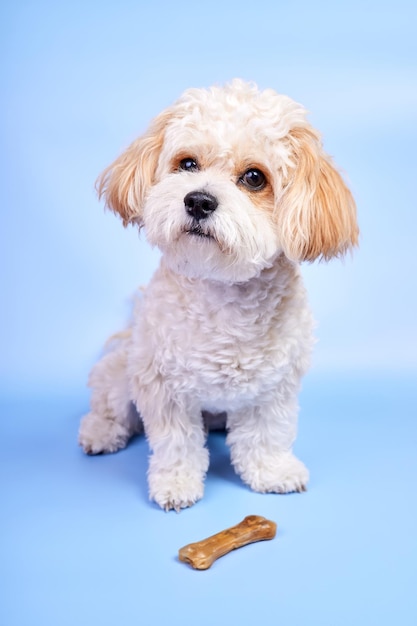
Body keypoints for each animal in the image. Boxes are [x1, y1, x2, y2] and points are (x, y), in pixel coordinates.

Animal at [79, 79, 358, 508]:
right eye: (187, 164)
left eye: (255, 177)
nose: (198, 200)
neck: (223, 295)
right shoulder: (162, 387)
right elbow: (177, 443)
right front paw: (176, 483)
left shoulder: (274, 389)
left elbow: (267, 435)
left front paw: (272, 471)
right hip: (122, 371)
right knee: (111, 406)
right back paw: (100, 431)